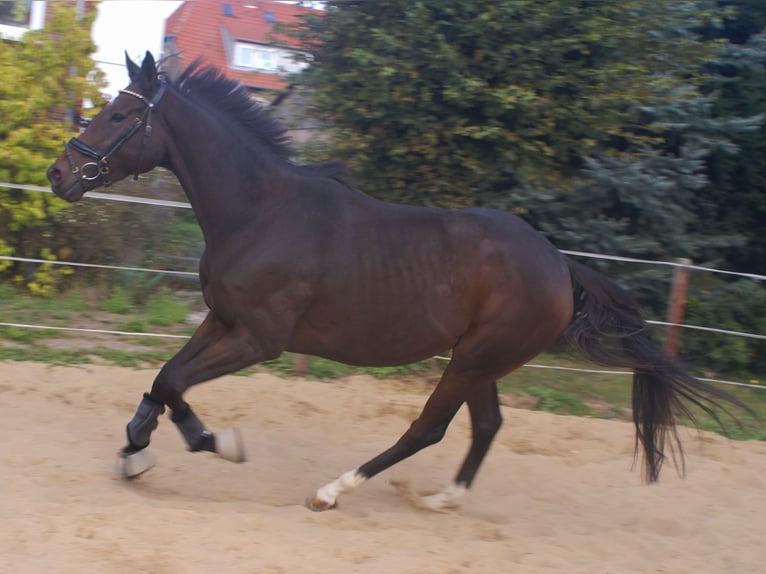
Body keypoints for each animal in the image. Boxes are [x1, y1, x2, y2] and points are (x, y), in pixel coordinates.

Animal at [47, 51, 741, 512]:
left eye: (119, 114)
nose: (59, 174)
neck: (260, 212)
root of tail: (557, 263)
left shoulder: (258, 340)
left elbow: (175, 382)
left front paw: (216, 444)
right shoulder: (222, 320)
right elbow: (165, 378)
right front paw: (137, 449)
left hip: (473, 359)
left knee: (429, 428)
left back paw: (333, 491)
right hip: (480, 361)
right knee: (485, 426)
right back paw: (443, 500)